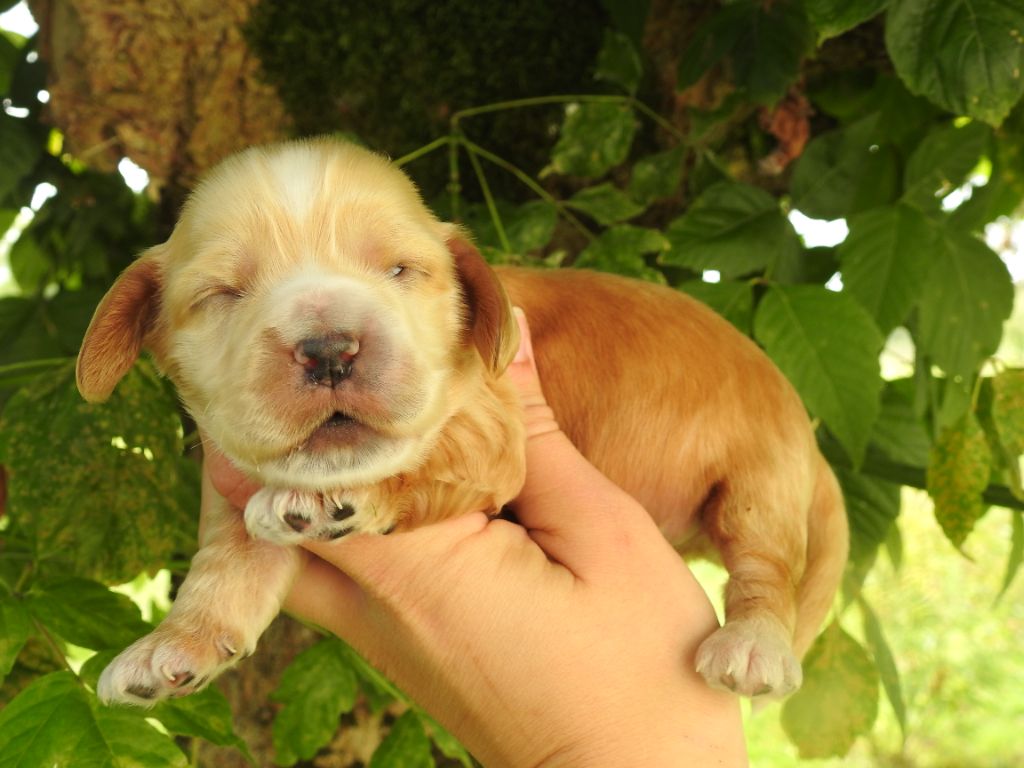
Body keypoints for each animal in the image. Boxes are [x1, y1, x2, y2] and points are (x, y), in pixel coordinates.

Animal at [77, 140, 847, 708]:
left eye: (400, 270)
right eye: (222, 293)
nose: (330, 349)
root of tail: (808, 437)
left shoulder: (494, 436)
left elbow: (424, 465)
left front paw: (336, 500)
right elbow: (228, 568)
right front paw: (174, 643)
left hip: (758, 485)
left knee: (766, 567)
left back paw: (754, 645)